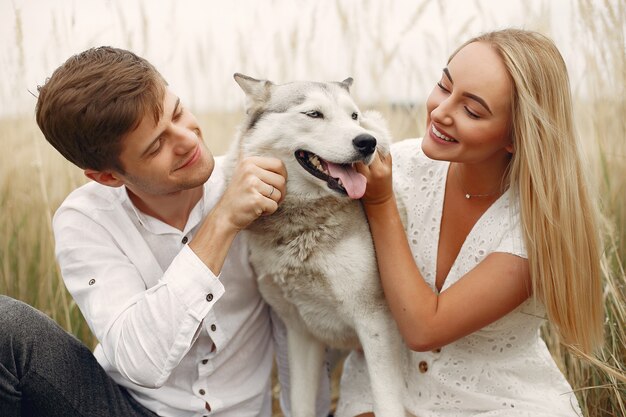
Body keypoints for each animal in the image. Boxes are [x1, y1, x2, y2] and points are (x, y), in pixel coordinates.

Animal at [227, 74, 408, 416]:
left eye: (354, 116)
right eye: (314, 114)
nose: (367, 142)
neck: (302, 228)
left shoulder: (375, 324)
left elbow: (387, 404)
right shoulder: (302, 333)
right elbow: (301, 404)